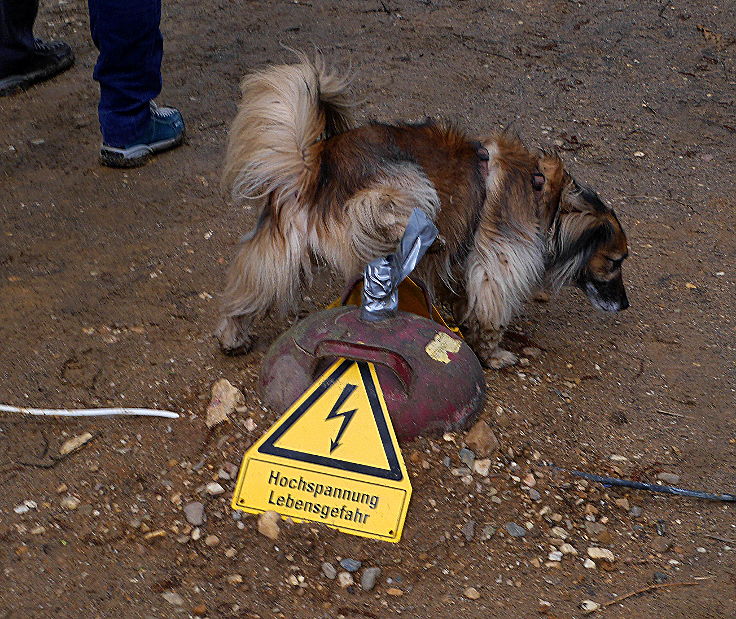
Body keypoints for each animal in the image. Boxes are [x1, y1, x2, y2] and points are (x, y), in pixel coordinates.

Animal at [216, 54, 628, 368]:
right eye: (615, 262)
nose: (624, 305)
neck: (546, 196)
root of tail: (317, 163)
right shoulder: (498, 266)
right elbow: (491, 315)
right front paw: (493, 355)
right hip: (408, 182)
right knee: (384, 212)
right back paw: (421, 235)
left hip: (280, 252)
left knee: (249, 288)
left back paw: (233, 335)